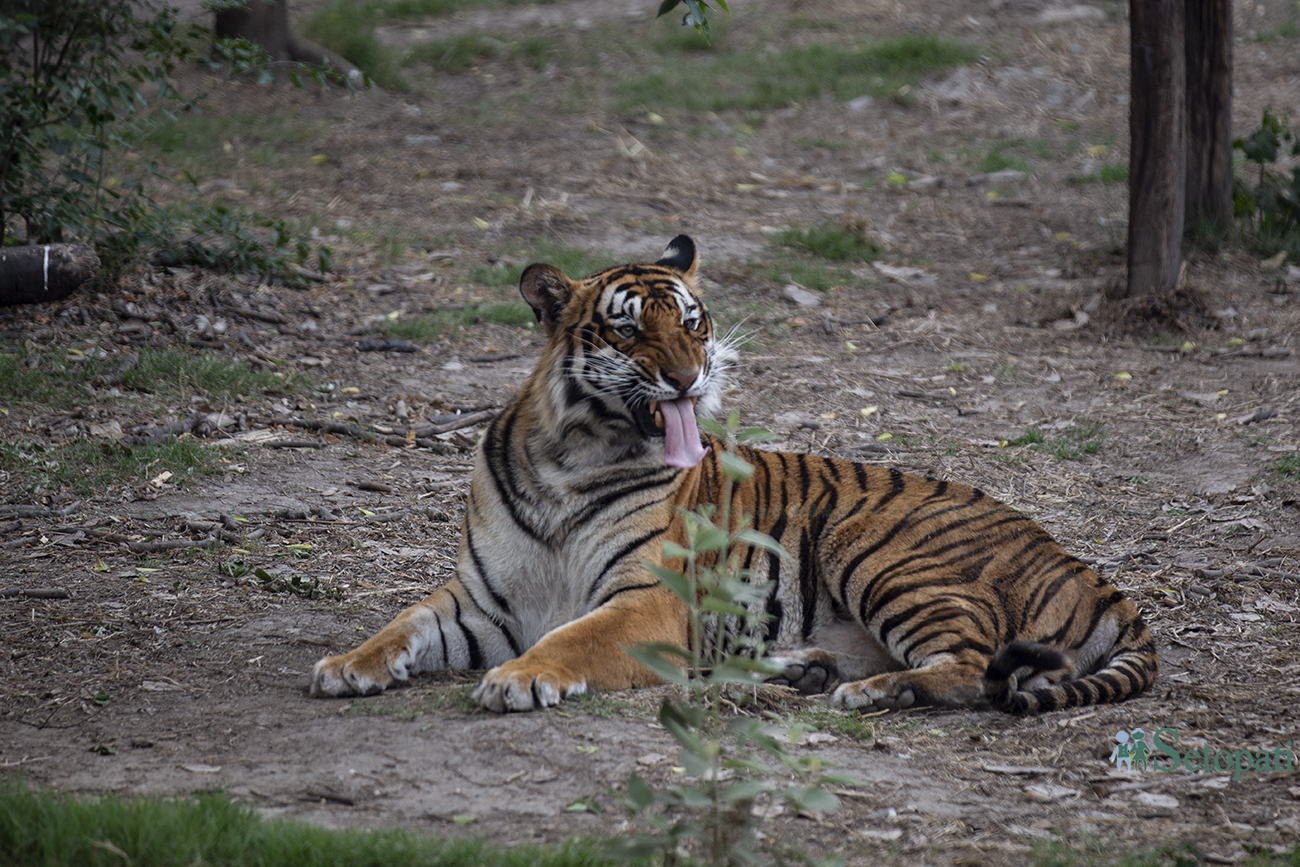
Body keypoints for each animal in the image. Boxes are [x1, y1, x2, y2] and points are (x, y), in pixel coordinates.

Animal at [309, 233, 1164, 717]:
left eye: (693, 323)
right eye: (628, 330)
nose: (688, 379)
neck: (569, 458)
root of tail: (1079, 562)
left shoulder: (647, 600)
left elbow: (573, 636)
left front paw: (521, 676)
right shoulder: (480, 598)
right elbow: (402, 624)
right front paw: (344, 666)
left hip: (879, 549)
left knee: (974, 667)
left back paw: (870, 692)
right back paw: (801, 670)